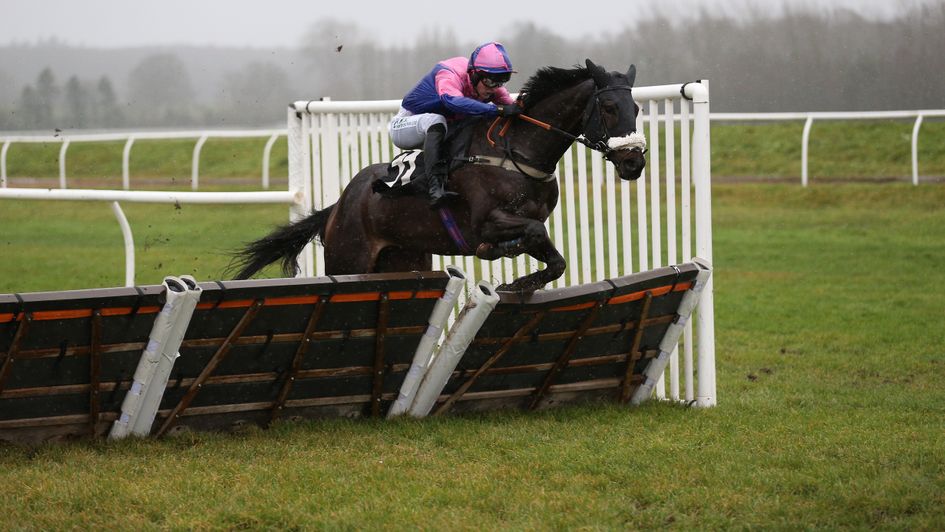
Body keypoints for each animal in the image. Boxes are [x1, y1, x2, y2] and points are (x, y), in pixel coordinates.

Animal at [235, 60, 644, 294]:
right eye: (609, 107)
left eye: (637, 107)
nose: (634, 162)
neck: (515, 151)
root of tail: (338, 206)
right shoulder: (485, 222)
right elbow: (531, 233)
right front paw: (509, 270)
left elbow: (554, 258)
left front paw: (520, 280)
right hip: (348, 260)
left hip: (405, 259)